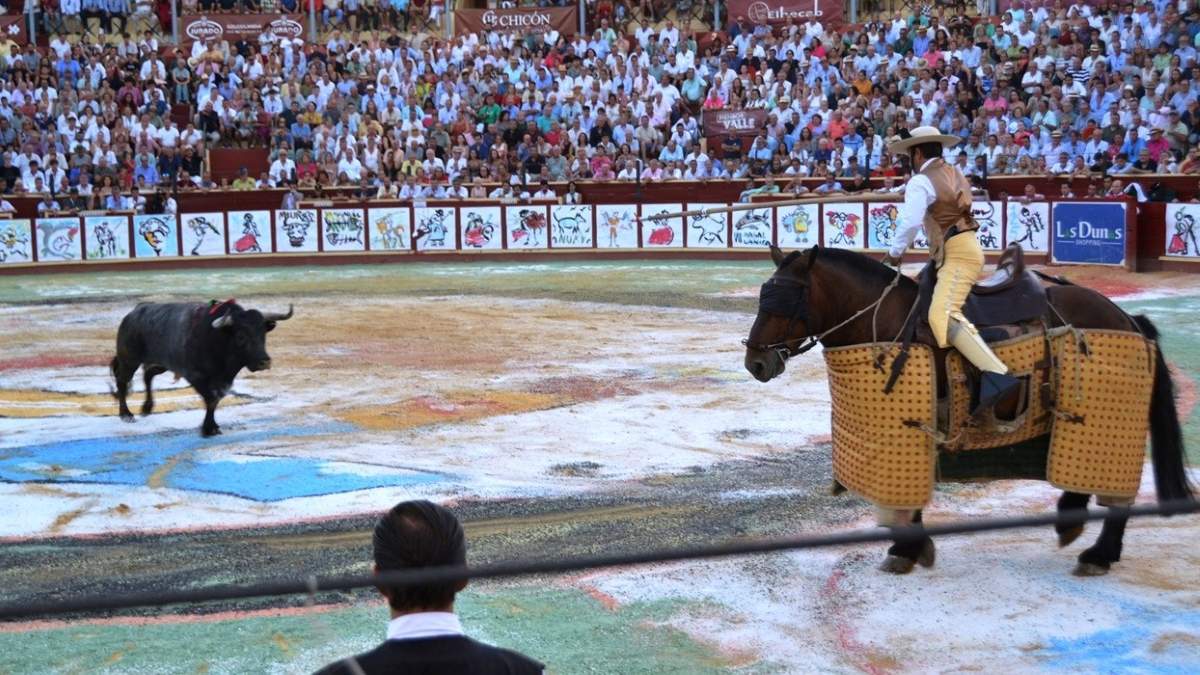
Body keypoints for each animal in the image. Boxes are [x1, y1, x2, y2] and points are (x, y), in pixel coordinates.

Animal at [743, 244, 1194, 576]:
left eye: (788, 299)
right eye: (764, 295)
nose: (756, 363)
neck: (885, 320)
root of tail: (1127, 318)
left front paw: (907, 549)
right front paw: (907, 549)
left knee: (1117, 492)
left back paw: (1099, 554)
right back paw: (1071, 523)